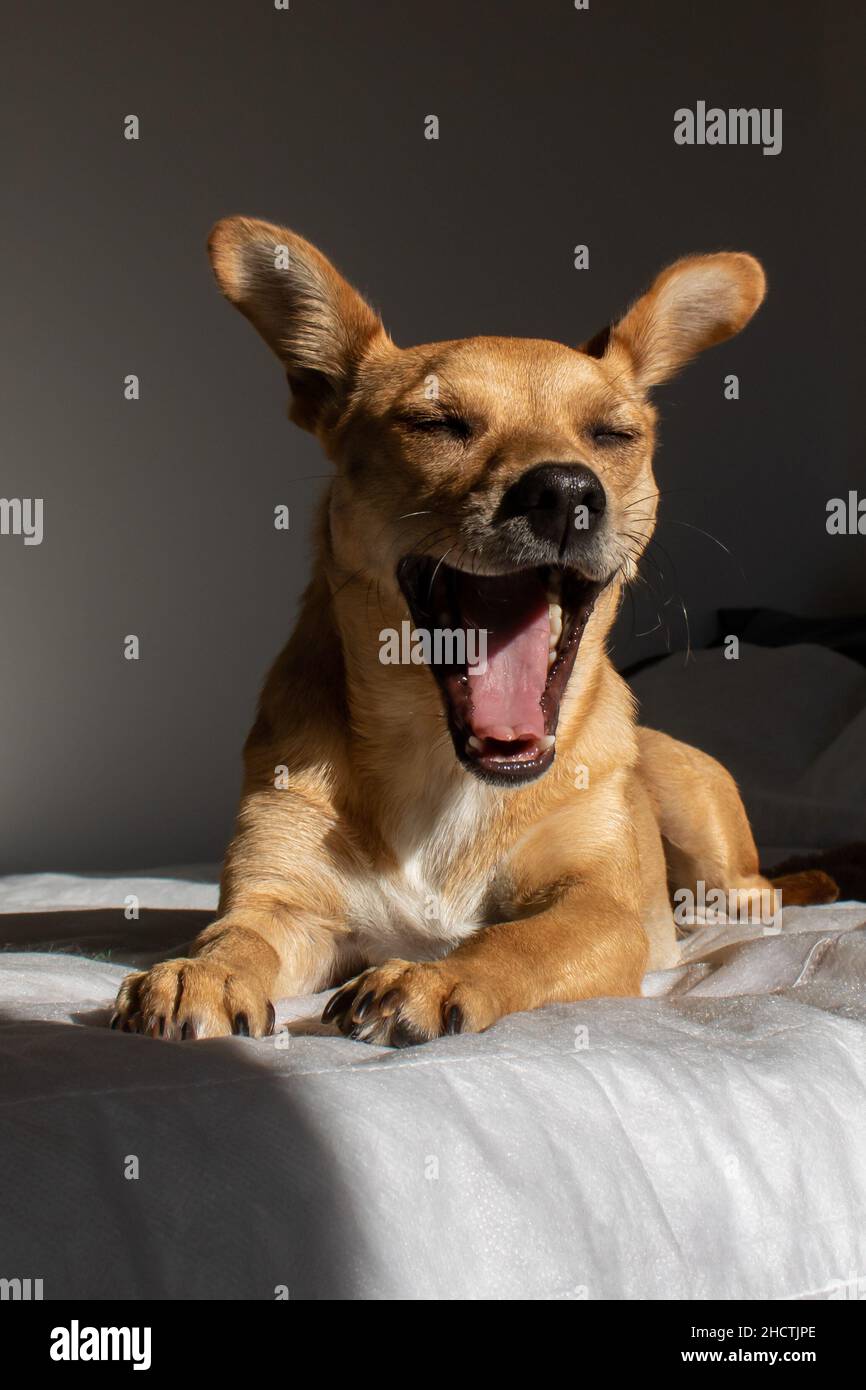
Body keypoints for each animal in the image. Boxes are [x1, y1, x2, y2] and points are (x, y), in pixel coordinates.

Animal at [111, 216, 839, 1045]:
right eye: (437, 424)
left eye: (612, 435)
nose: (564, 490)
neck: (441, 764)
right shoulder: (282, 903)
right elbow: (231, 934)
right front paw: (199, 971)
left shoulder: (598, 909)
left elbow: (520, 939)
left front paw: (437, 977)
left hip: (705, 835)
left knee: (753, 892)